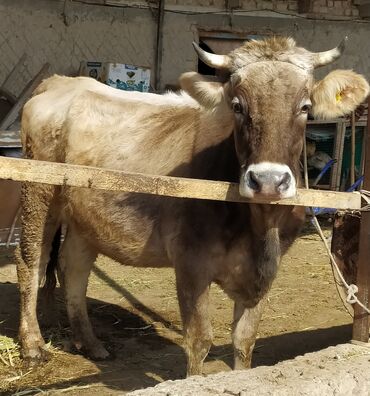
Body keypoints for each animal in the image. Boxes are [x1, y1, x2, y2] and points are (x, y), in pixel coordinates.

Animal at [16, 38, 368, 378]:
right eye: (237, 106)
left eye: (305, 107)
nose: (268, 181)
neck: (258, 226)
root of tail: (60, 82)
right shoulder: (190, 262)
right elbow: (200, 340)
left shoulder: (267, 268)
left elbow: (244, 340)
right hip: (38, 194)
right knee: (31, 261)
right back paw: (33, 345)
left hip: (85, 215)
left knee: (73, 266)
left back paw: (89, 343)